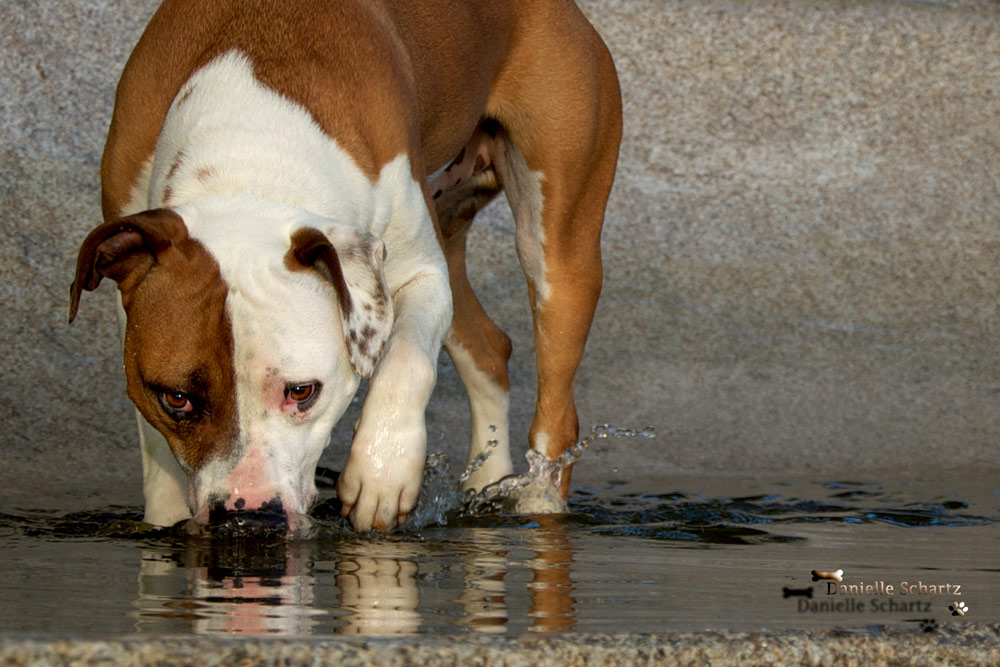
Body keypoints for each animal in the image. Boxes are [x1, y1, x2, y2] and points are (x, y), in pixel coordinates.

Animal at [68, 0, 616, 532]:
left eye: (302, 392)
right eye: (175, 399)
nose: (247, 516)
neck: (251, 153)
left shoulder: (420, 273)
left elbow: (408, 362)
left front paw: (382, 475)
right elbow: (156, 451)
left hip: (558, 247)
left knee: (555, 407)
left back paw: (537, 506)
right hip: (451, 220)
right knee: (489, 348)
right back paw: (487, 484)